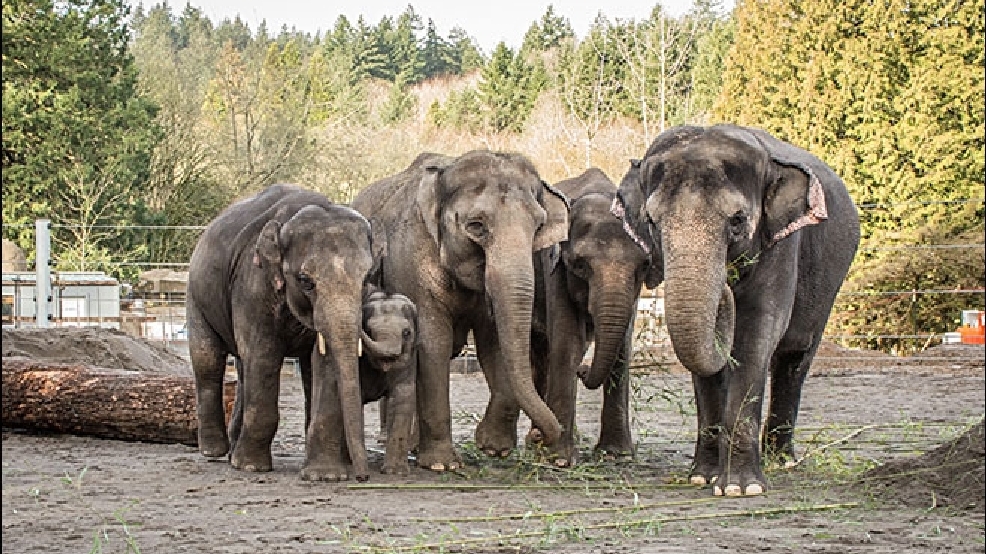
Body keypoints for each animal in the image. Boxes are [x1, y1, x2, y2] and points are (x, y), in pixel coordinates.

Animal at [186, 184, 374, 478]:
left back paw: (233, 452)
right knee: (208, 360)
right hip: (196, 297)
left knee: (243, 367)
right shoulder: (253, 284)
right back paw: (215, 451)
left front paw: (325, 475)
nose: (363, 477)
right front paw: (251, 467)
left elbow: (323, 361)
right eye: (306, 281)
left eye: (366, 279)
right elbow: (264, 355)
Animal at [528, 167, 656, 462]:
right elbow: (567, 342)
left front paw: (617, 454)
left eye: (644, 265)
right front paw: (560, 460)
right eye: (579, 265)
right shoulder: (554, 270)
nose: (583, 371)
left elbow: (622, 350)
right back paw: (536, 441)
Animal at [612, 123, 856, 494]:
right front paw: (704, 476)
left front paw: (742, 488)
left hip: (830, 282)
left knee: (795, 358)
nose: (726, 287)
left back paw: (781, 460)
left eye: (738, 220)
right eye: (652, 222)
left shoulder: (781, 243)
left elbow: (758, 335)